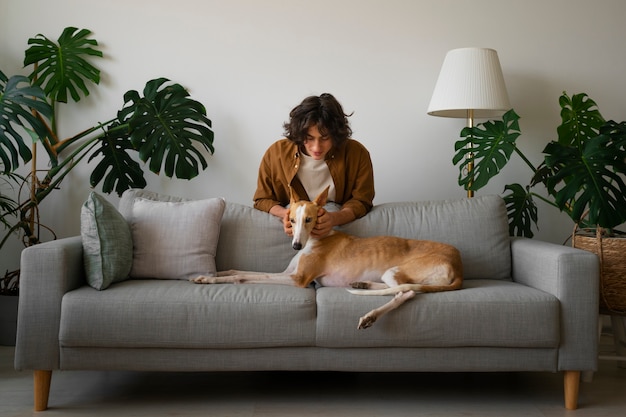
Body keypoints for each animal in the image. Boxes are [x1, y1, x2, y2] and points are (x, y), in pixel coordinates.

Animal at [193, 186, 460, 328]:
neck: (315, 239)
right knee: (399, 289)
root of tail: (458, 266)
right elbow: (239, 270)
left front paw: (211, 279)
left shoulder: (298, 279)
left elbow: (243, 277)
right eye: (292, 220)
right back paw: (362, 284)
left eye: (309, 220)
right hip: (391, 273)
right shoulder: (287, 273)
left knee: (407, 292)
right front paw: (210, 273)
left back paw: (370, 315)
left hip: (396, 270)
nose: (296, 246)